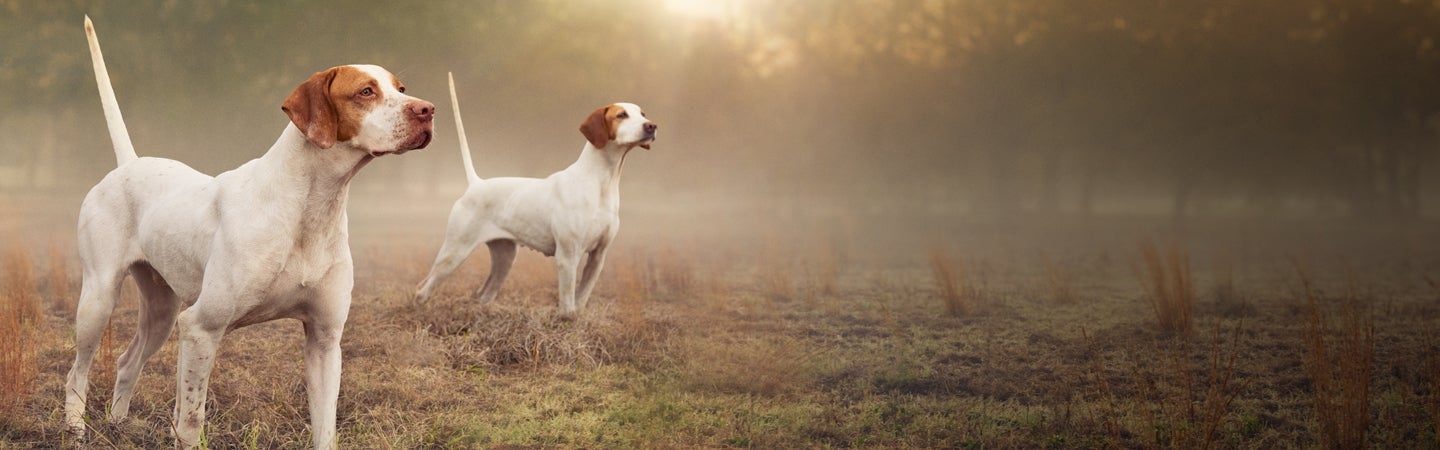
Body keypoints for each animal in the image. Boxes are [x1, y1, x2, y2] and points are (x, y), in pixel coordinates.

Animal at [63, 15, 432, 447]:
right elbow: (192, 420)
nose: (428, 110)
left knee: (126, 362)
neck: (309, 210)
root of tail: (128, 165)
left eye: (401, 89)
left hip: (162, 311)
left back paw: (119, 423)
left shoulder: (324, 340)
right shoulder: (200, 328)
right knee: (77, 373)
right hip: (99, 300)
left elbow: (325, 428)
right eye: (366, 91)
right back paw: (75, 427)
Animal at [411, 73, 659, 318]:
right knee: (422, 290)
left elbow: (580, 302)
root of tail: (476, 184)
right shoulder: (568, 256)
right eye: (621, 115)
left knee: (484, 293)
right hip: (455, 252)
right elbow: (568, 307)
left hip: (505, 257)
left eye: (642, 113)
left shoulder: (598, 257)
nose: (652, 126)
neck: (601, 183)